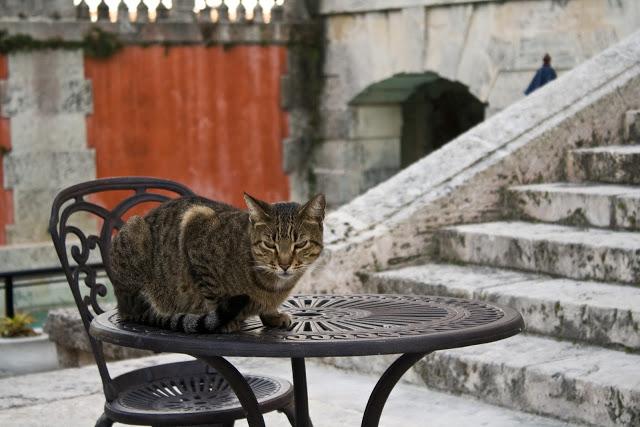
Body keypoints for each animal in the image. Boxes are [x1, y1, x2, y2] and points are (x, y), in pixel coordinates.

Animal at [109, 193, 324, 334]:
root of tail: (122, 305)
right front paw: (226, 321)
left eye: (300, 244)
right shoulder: (195, 225)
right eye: (269, 244)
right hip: (135, 231)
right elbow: (212, 292)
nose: (284, 264)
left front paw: (272, 315)